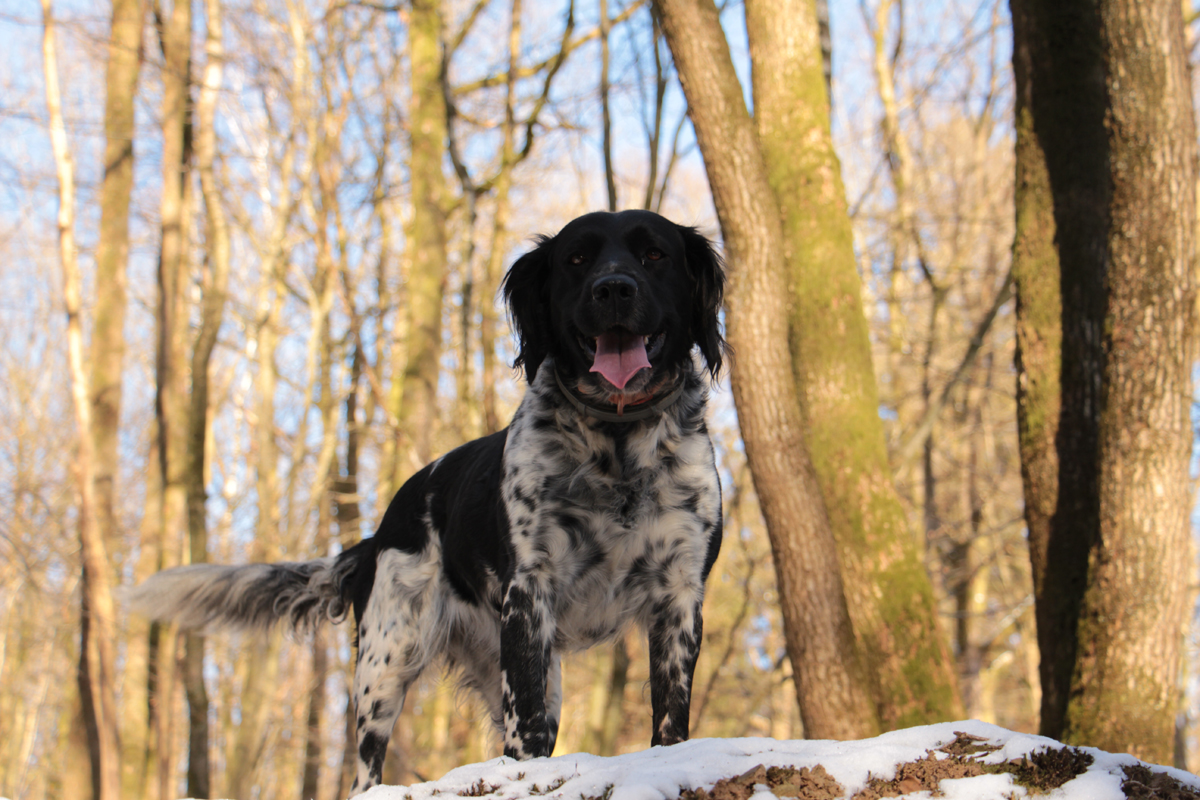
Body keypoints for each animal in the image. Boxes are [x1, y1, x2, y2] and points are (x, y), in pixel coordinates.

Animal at [132, 209, 729, 796]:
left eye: (654, 254)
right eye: (577, 259)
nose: (614, 288)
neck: (617, 448)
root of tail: (377, 535)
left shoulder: (679, 592)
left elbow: (670, 717)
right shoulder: (528, 593)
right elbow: (528, 727)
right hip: (386, 662)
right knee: (367, 770)